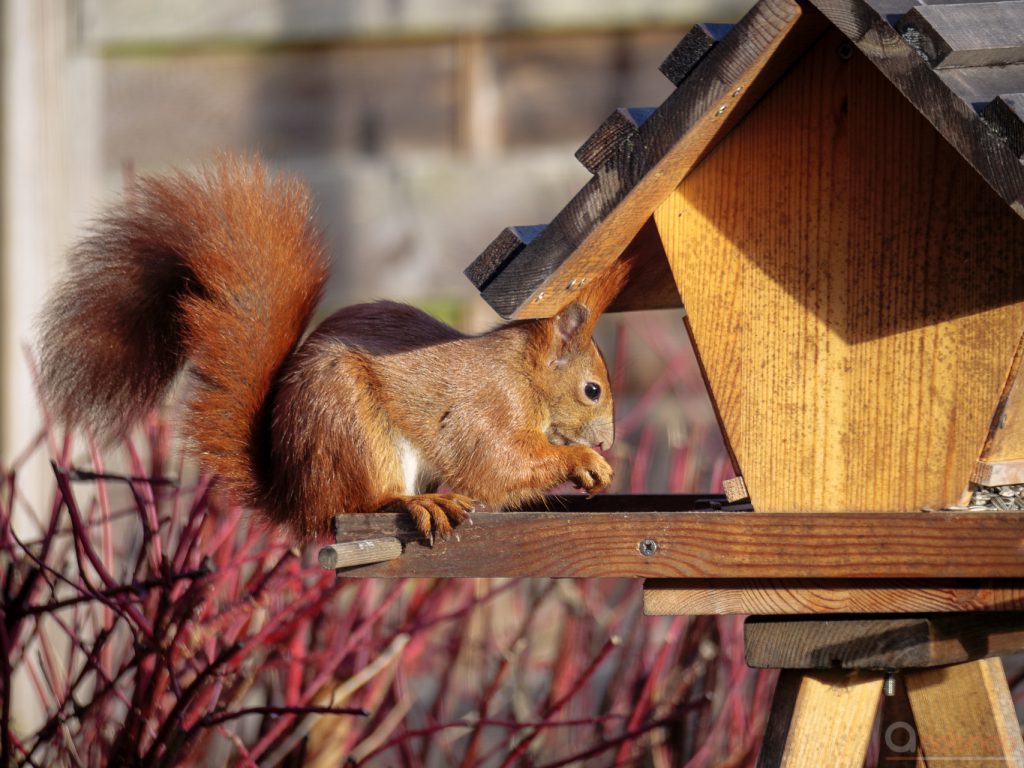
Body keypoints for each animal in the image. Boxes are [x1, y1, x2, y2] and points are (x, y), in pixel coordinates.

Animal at [36, 156, 626, 544]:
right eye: (592, 390)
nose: (608, 442)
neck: (523, 376)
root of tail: (295, 499)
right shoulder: (488, 407)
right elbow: (498, 466)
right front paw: (583, 461)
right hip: (349, 427)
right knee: (360, 502)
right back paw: (416, 502)